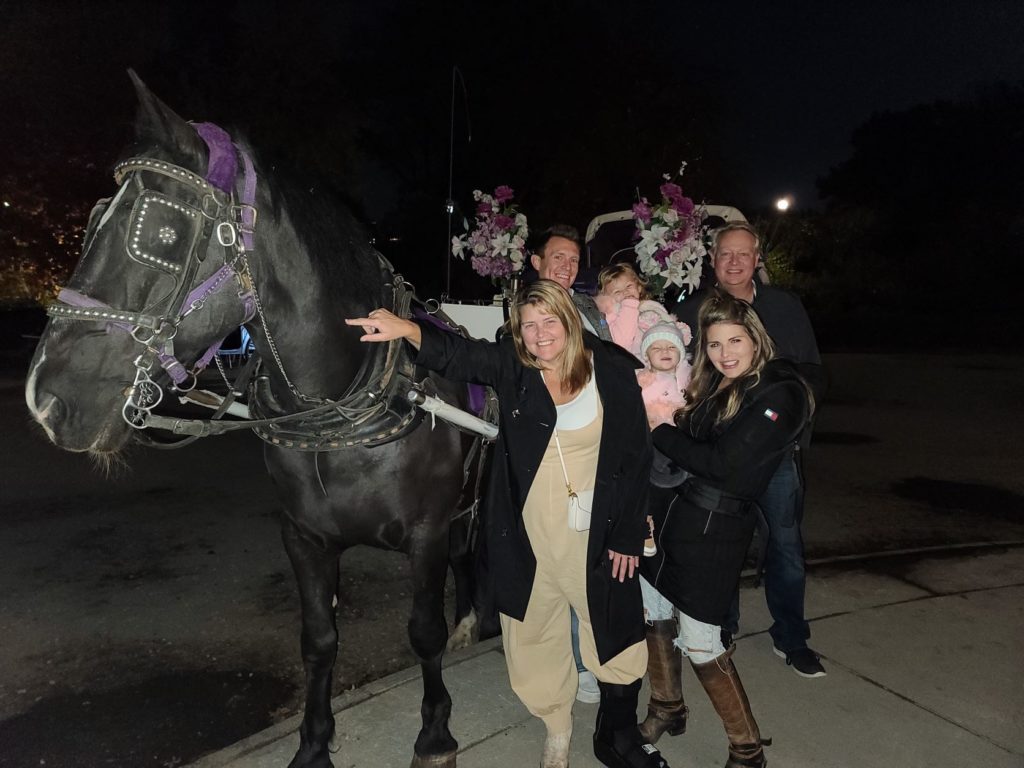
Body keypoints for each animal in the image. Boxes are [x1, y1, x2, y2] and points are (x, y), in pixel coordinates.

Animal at [25, 73, 485, 768]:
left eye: (162, 234)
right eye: (93, 219)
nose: (45, 399)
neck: (337, 414)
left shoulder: (427, 531)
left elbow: (423, 630)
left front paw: (435, 732)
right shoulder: (302, 536)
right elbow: (318, 639)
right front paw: (314, 743)